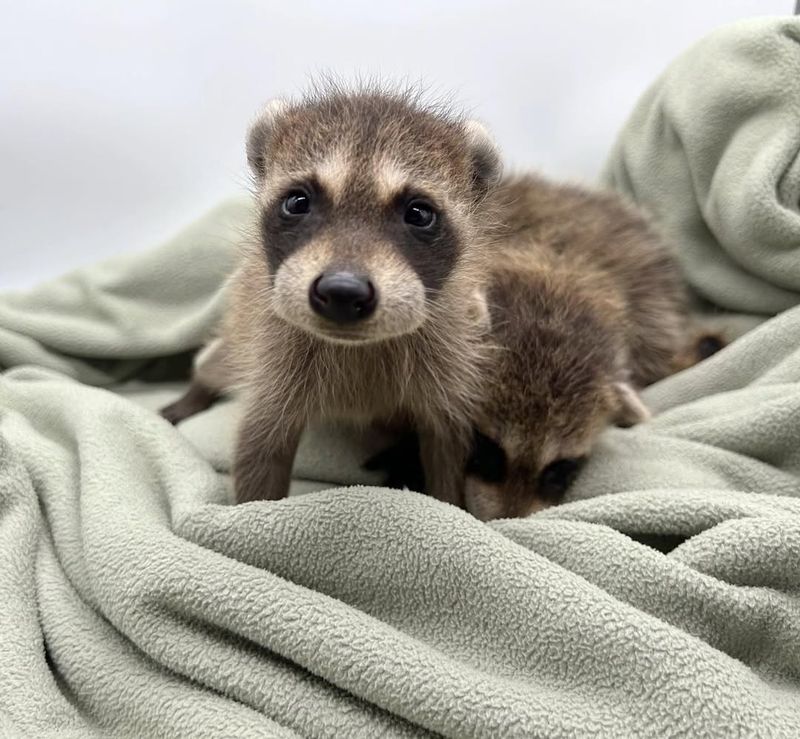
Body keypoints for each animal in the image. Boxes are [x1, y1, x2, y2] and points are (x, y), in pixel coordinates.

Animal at [161, 86, 503, 505]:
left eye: (419, 214)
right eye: (297, 202)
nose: (343, 291)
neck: (358, 346)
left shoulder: (452, 363)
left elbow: (447, 448)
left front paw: (448, 499)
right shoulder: (270, 356)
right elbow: (260, 443)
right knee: (218, 362)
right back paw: (197, 389)